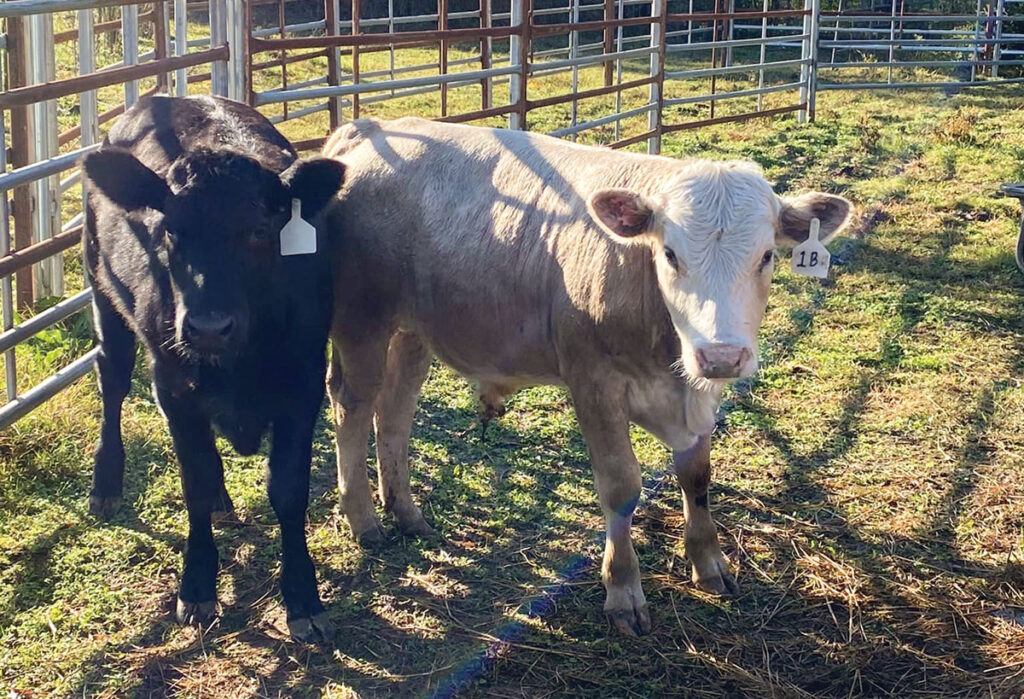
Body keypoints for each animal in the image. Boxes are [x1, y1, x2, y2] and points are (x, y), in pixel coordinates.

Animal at [81, 95, 345, 642]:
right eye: (171, 230)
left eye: (260, 231)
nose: (206, 328)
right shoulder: (172, 389)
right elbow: (195, 484)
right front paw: (198, 585)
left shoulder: (304, 385)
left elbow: (289, 492)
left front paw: (302, 596)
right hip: (102, 295)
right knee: (111, 383)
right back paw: (106, 484)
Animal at [320, 117, 851, 636]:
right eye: (670, 254)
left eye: (766, 255)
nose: (721, 355)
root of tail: (370, 128)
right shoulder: (594, 382)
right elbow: (620, 485)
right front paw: (623, 589)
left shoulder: (698, 394)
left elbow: (696, 474)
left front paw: (709, 563)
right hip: (361, 321)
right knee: (352, 406)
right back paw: (363, 518)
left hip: (414, 331)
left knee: (394, 410)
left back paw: (406, 511)